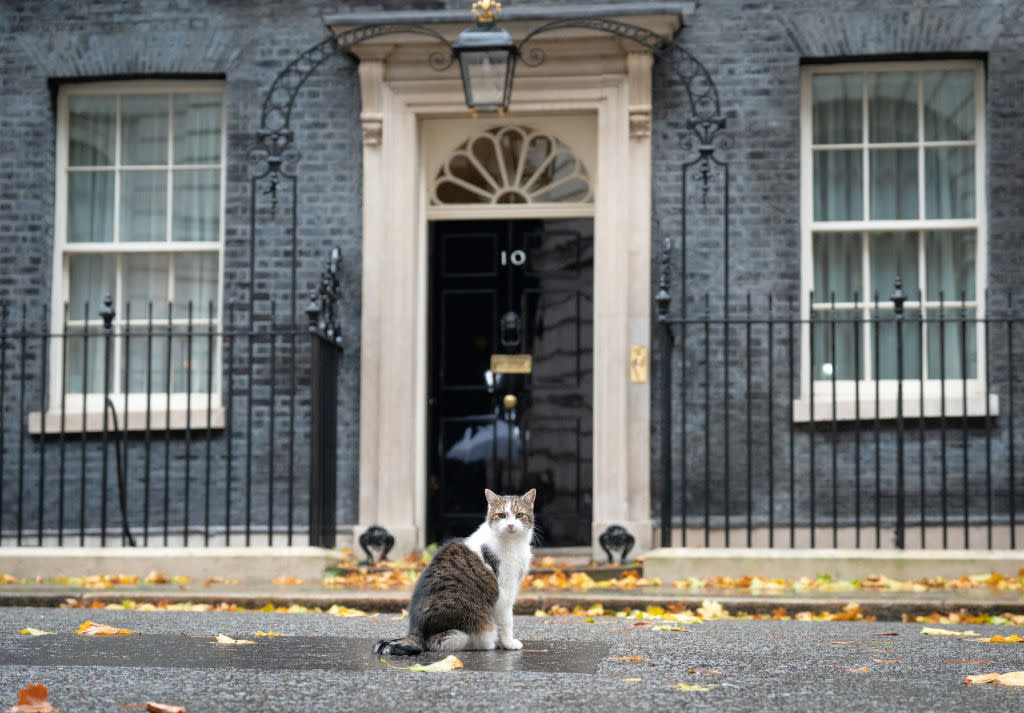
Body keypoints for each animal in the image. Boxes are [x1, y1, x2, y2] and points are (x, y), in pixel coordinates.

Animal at [374, 487, 536, 655]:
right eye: (501, 515)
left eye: (519, 515)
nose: (510, 525)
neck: (513, 542)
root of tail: (417, 631)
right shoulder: (505, 591)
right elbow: (507, 621)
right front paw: (509, 644)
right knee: (445, 641)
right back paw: (486, 643)